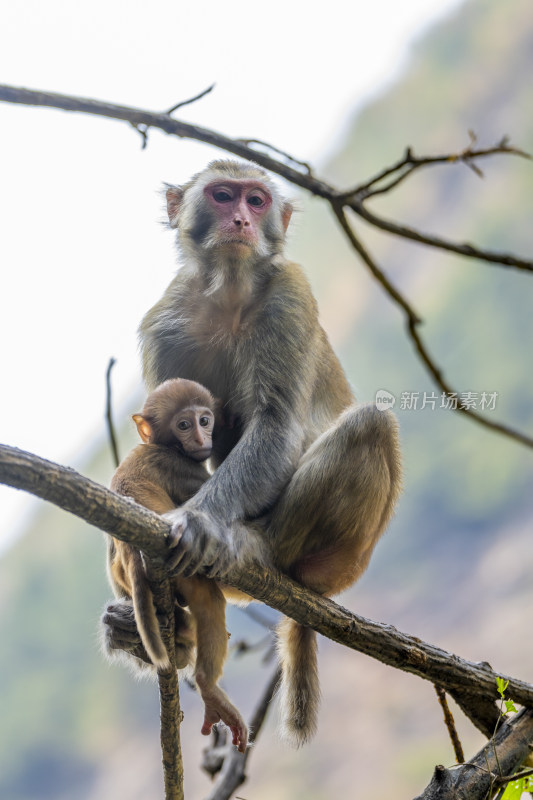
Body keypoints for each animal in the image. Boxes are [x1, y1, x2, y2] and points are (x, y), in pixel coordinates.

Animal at [108, 378, 249, 752]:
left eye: (204, 420)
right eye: (183, 425)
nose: (201, 439)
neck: (162, 445)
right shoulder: (183, 468)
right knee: (208, 598)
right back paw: (207, 685)